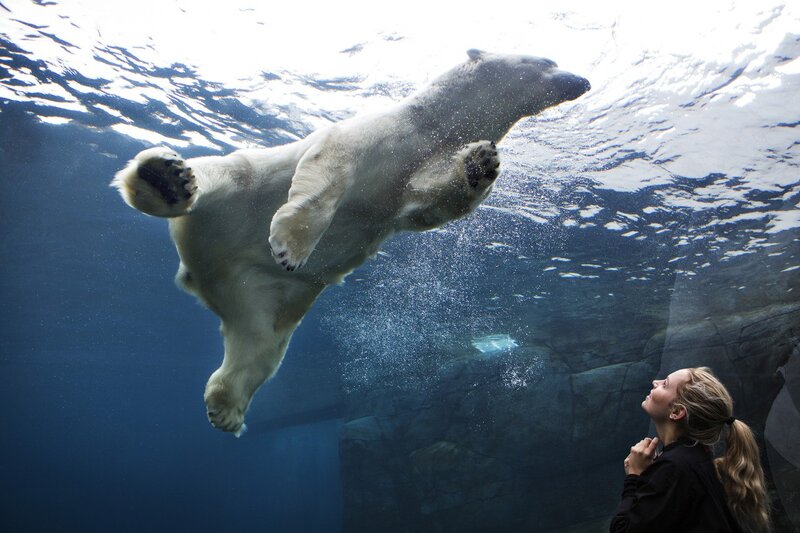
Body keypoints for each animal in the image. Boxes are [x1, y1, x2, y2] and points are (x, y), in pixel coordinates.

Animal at [112, 50, 590, 436]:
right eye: (547, 60)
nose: (582, 81)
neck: (429, 126)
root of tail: (201, 271)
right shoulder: (373, 131)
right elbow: (332, 167)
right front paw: (290, 244)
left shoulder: (416, 166)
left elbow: (429, 203)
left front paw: (481, 162)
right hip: (242, 190)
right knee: (218, 174)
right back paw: (166, 180)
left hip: (266, 293)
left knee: (260, 346)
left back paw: (227, 407)